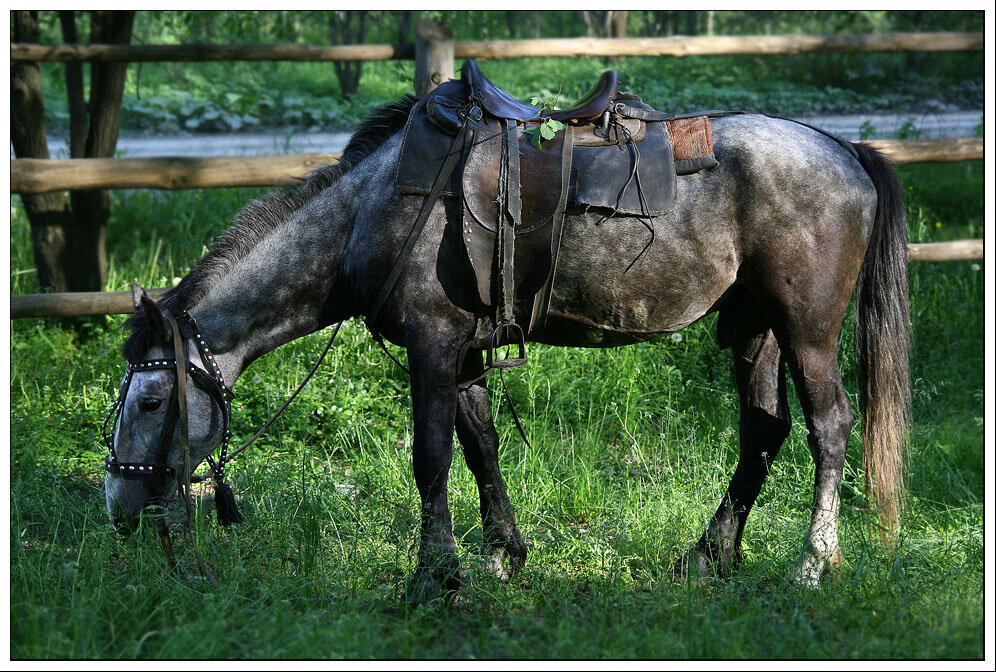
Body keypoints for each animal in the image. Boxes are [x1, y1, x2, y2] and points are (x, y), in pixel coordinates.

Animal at [103, 81, 912, 600]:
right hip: (754, 329)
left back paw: (813, 565)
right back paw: (709, 556)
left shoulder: (431, 344)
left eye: (150, 401)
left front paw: (433, 576)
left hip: (807, 331)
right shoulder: (462, 352)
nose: (118, 506)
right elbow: (479, 445)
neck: (375, 211)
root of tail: (844, 149)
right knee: (763, 430)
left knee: (830, 426)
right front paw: (502, 556)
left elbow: (431, 456)